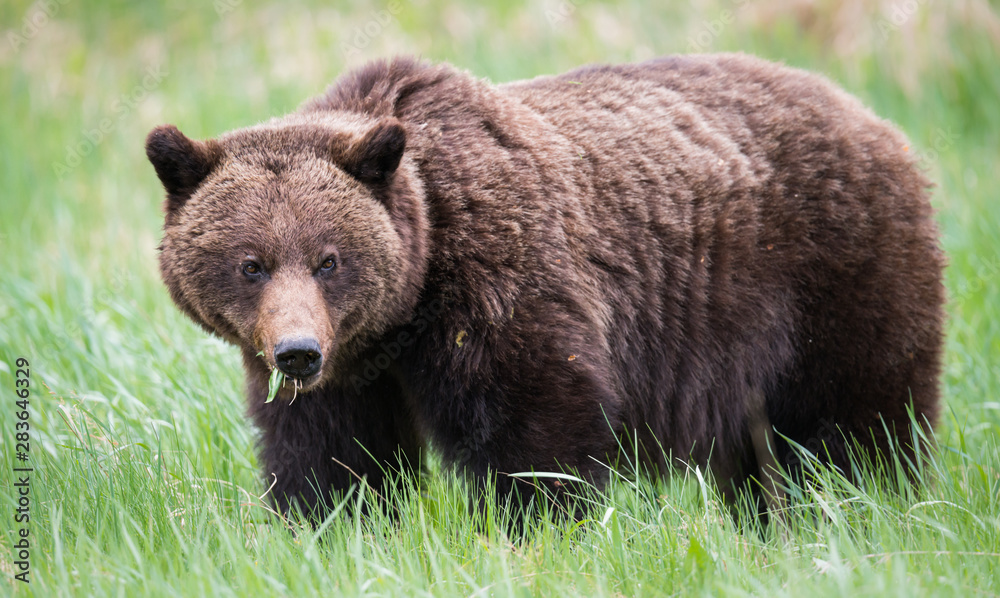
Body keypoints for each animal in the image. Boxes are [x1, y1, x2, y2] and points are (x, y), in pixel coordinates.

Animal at [146, 54, 944, 524]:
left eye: (329, 259)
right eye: (251, 263)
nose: (298, 352)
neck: (406, 314)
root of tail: (873, 118)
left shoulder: (499, 283)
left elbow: (536, 426)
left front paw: (536, 525)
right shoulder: (351, 370)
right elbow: (329, 454)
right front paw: (331, 525)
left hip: (830, 273)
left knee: (863, 416)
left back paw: (879, 504)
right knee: (762, 454)